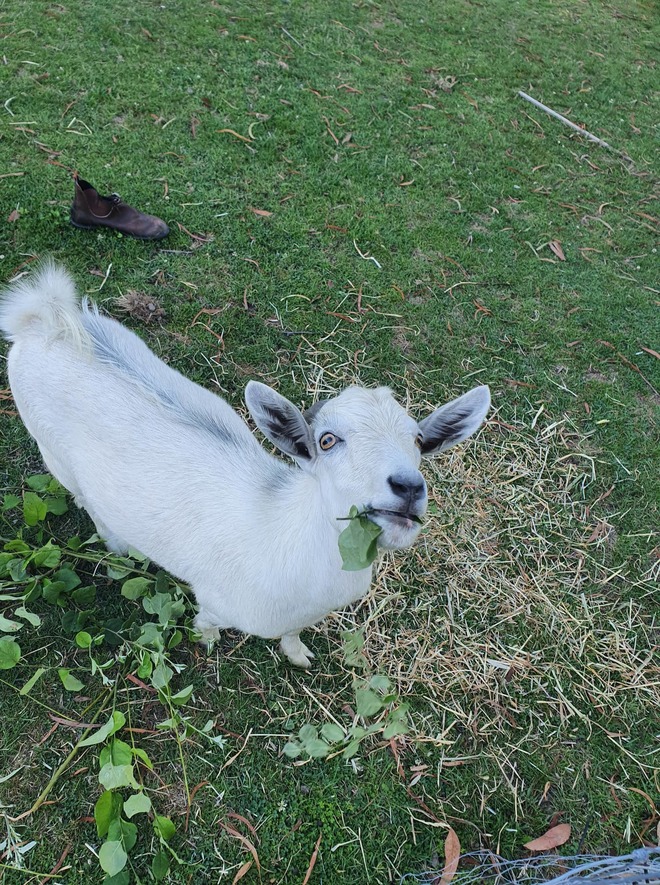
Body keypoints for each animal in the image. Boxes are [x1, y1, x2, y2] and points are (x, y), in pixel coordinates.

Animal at [0, 262, 491, 667]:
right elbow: (207, 623)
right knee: (86, 500)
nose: (407, 488)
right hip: (52, 453)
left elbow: (292, 635)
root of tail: (45, 321)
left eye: (419, 441)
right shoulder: (216, 600)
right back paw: (119, 546)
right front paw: (207, 642)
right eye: (327, 440)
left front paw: (298, 656)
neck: (282, 529)